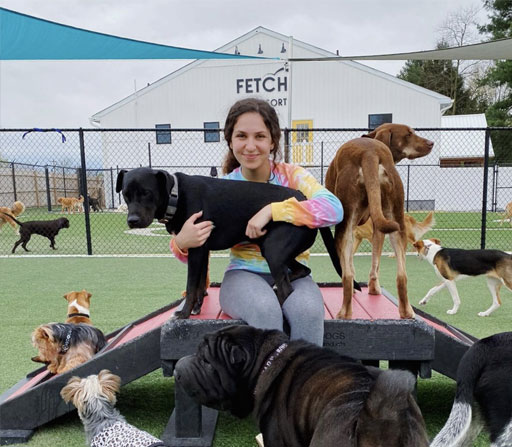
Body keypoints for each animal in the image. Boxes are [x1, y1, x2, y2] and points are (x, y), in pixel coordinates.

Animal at [324, 122, 432, 318]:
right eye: (408, 134)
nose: (431, 143)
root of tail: (370, 153)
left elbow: (349, 264)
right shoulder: (376, 226)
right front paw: (374, 288)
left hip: (345, 227)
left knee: (347, 275)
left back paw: (344, 312)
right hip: (396, 223)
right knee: (402, 276)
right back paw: (407, 311)